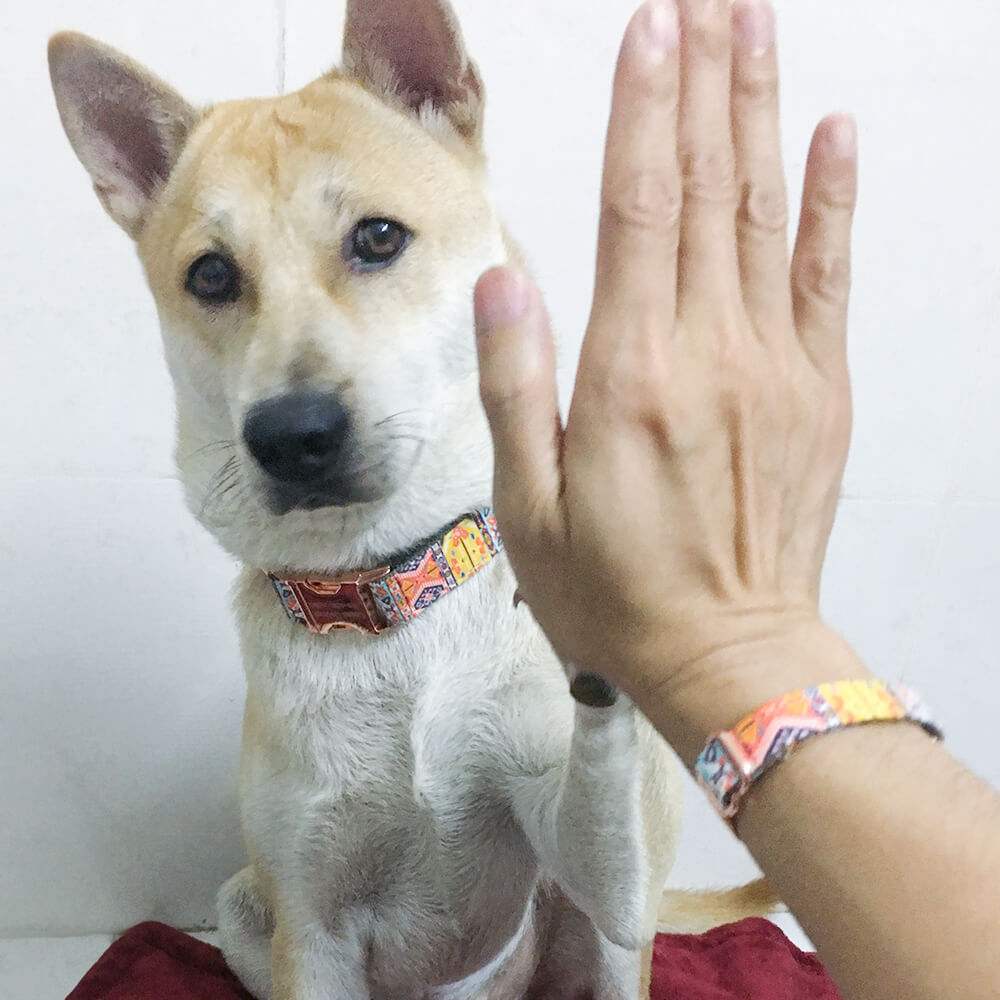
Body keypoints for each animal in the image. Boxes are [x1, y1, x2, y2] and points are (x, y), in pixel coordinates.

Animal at [47, 3, 768, 996]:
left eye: (379, 238)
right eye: (211, 276)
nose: (292, 435)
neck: (387, 591)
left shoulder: (600, 863)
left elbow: (598, 794)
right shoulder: (310, 927)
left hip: (610, 941)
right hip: (241, 907)